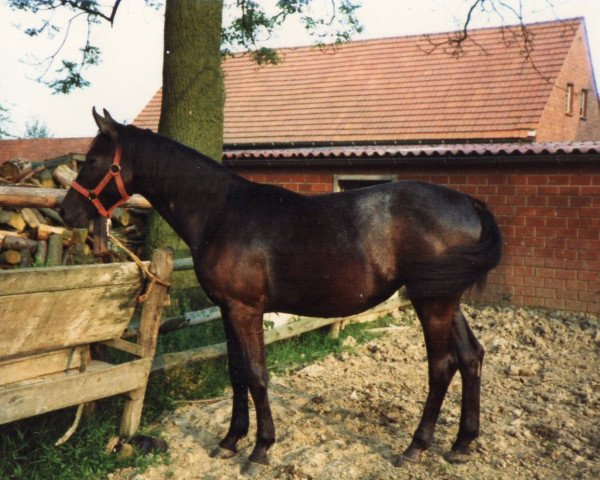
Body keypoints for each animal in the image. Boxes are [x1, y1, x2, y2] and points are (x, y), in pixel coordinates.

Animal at [61, 108, 502, 468]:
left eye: (94, 161)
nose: (67, 211)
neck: (221, 211)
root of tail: (468, 202)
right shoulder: (227, 308)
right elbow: (236, 372)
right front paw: (230, 440)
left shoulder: (246, 308)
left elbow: (256, 374)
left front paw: (260, 449)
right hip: (445, 299)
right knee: (471, 356)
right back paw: (461, 444)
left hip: (433, 302)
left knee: (442, 366)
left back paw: (415, 447)